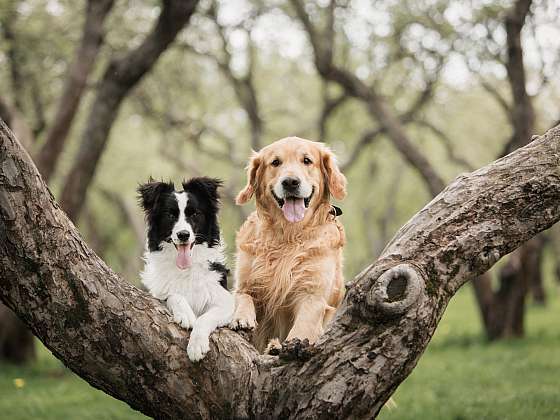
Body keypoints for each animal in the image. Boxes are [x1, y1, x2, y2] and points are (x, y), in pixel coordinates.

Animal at [138, 176, 234, 360]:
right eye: (170, 215)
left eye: (194, 214)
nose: (183, 235)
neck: (185, 269)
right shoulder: (159, 293)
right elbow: (174, 295)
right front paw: (186, 314)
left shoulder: (226, 302)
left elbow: (204, 318)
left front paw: (196, 346)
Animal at [229, 137, 346, 352]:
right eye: (275, 162)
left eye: (307, 160)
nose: (291, 182)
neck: (288, 235)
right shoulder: (245, 283)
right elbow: (243, 296)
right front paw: (242, 317)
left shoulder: (312, 293)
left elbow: (302, 326)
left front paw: (293, 345)